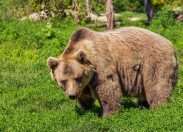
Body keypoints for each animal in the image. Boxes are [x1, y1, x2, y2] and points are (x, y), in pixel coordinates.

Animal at [47, 26, 179, 116]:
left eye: (77, 78)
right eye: (63, 81)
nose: (72, 95)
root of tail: (170, 43)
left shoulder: (100, 65)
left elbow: (108, 87)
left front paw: (108, 114)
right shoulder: (85, 81)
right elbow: (84, 94)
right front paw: (83, 107)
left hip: (154, 62)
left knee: (157, 85)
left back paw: (159, 108)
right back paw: (142, 105)